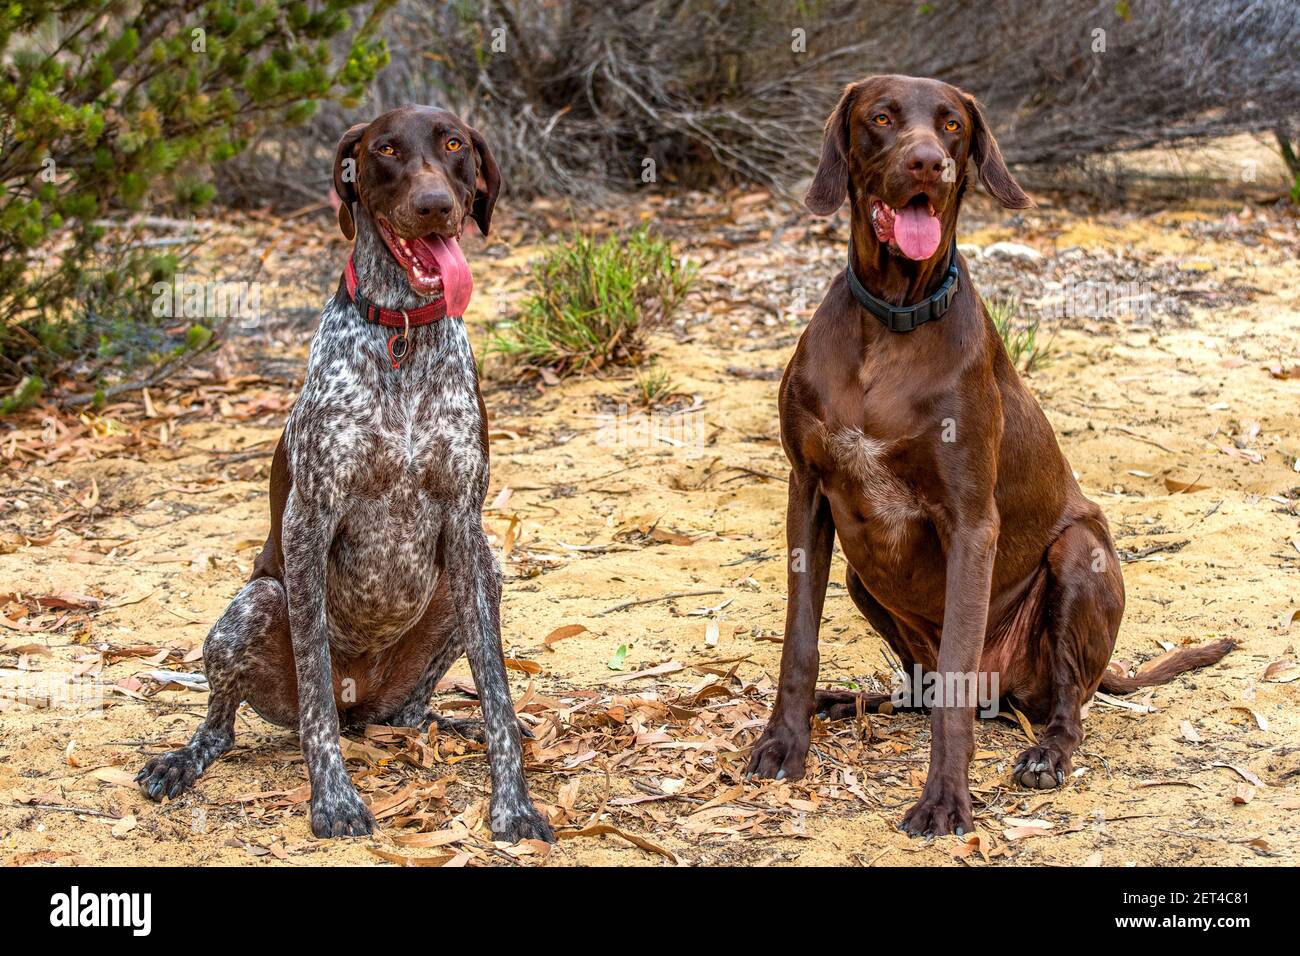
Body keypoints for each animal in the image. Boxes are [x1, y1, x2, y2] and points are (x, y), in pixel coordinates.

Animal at [138, 106, 553, 842]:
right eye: (384, 149)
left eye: (454, 144)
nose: (435, 205)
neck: (402, 334)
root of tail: (362, 699)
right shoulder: (309, 523)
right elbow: (313, 697)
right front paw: (333, 799)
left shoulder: (467, 529)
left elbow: (499, 692)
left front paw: (513, 803)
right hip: (253, 607)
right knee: (230, 725)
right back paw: (185, 760)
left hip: (472, 590)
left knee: (409, 713)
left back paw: (451, 725)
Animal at [748, 76, 1232, 837]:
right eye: (881, 117)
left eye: (952, 125)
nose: (929, 164)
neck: (891, 324)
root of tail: (1004, 689)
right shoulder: (809, 492)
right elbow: (800, 640)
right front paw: (783, 741)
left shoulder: (971, 521)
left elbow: (953, 684)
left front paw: (945, 798)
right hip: (861, 573)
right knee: (922, 689)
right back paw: (852, 702)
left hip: (1080, 558)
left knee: (1063, 704)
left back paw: (1046, 754)